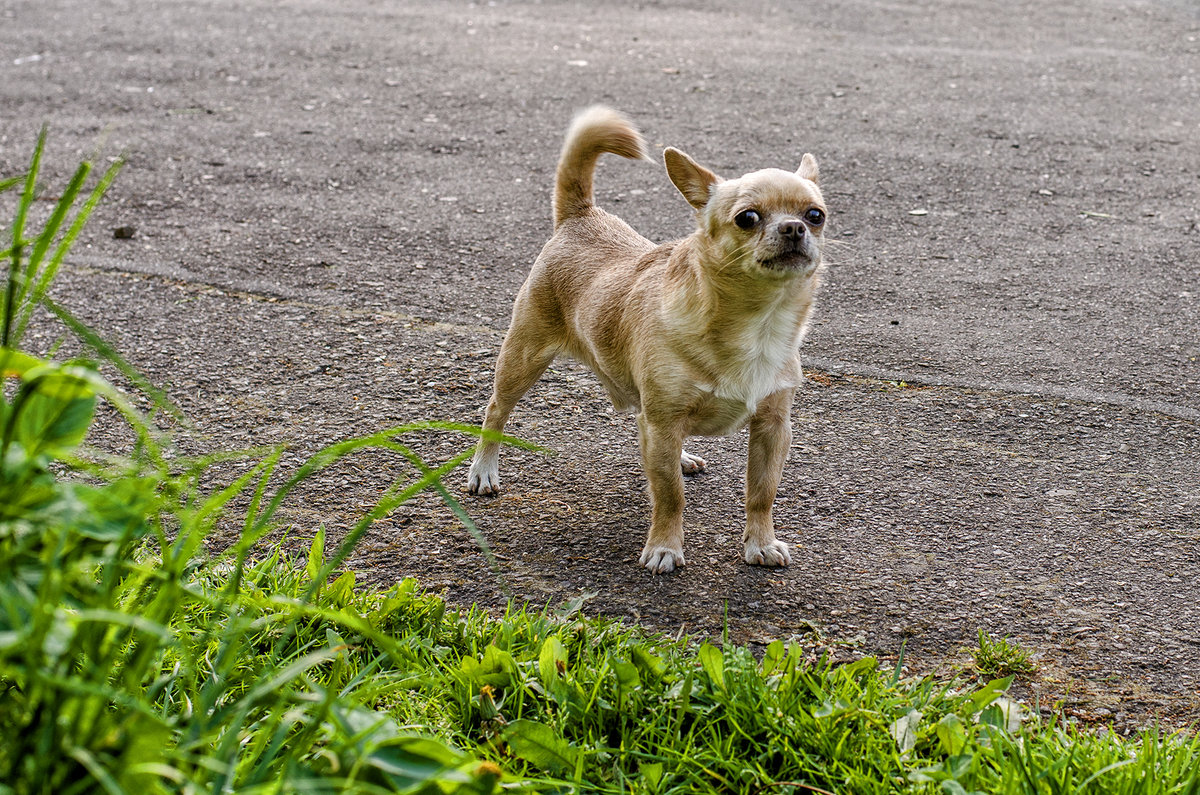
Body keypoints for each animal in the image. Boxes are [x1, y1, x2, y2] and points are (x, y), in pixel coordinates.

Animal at [465, 109, 825, 576]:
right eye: (747, 218)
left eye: (816, 214)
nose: (795, 227)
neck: (756, 321)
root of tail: (581, 216)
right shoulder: (665, 422)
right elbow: (670, 496)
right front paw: (665, 547)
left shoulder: (772, 427)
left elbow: (761, 493)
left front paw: (760, 543)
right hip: (523, 358)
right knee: (495, 411)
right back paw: (483, 470)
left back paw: (683, 456)